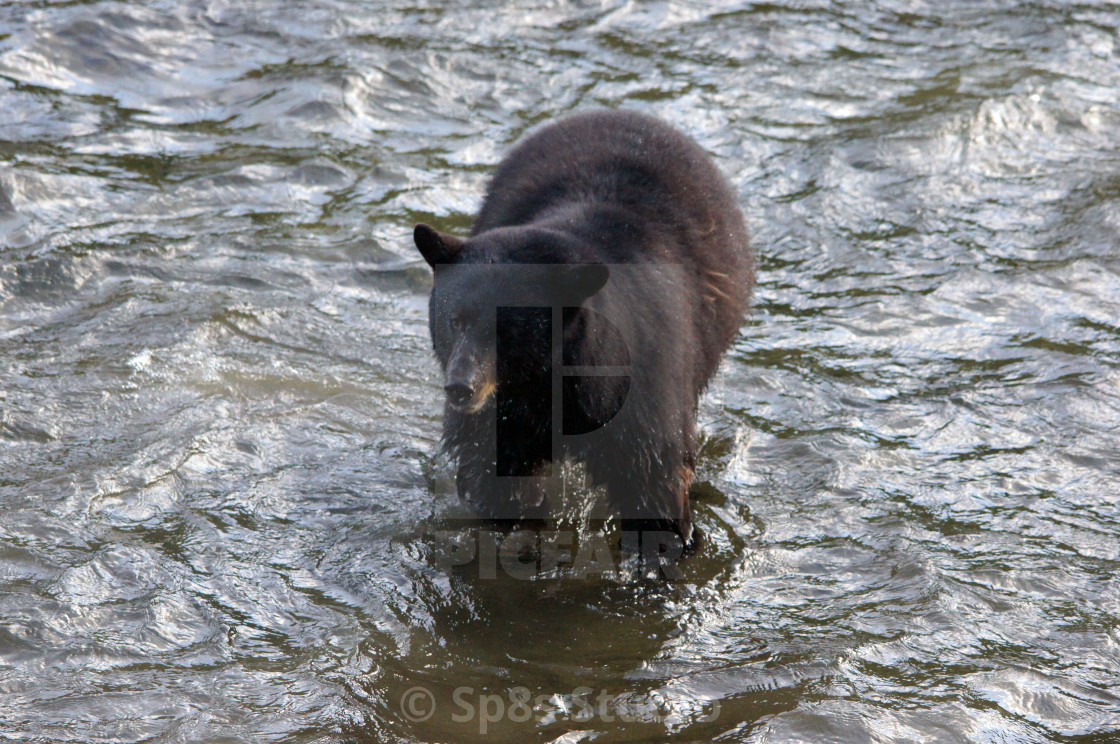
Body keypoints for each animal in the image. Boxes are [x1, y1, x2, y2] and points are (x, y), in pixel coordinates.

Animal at [412, 110, 752, 551]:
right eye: (455, 320)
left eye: (508, 328)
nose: (460, 388)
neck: (548, 383)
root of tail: (619, 112)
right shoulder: (500, 419)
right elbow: (493, 480)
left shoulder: (641, 387)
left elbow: (653, 483)